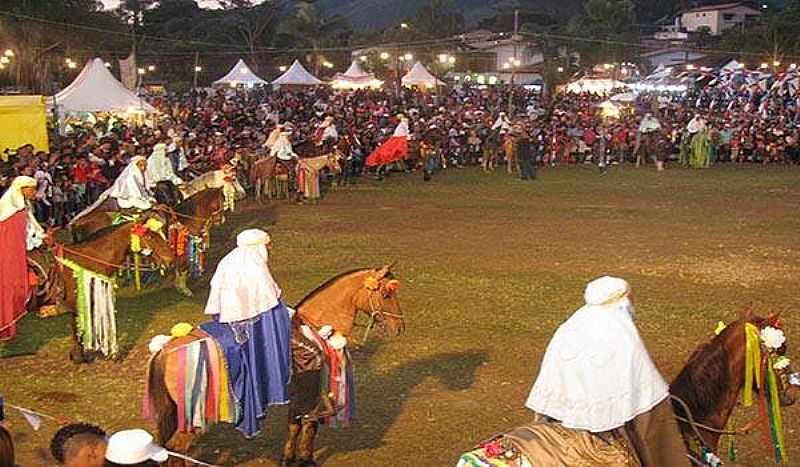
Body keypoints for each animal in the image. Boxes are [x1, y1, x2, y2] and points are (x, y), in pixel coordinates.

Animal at [144, 266, 404, 466]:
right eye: (386, 294)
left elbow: (294, 426)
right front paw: (306, 459)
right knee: (176, 450)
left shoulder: (296, 397)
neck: (315, 327)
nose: (400, 327)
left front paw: (289, 458)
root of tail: (165, 350)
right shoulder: (313, 397)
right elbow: (309, 427)